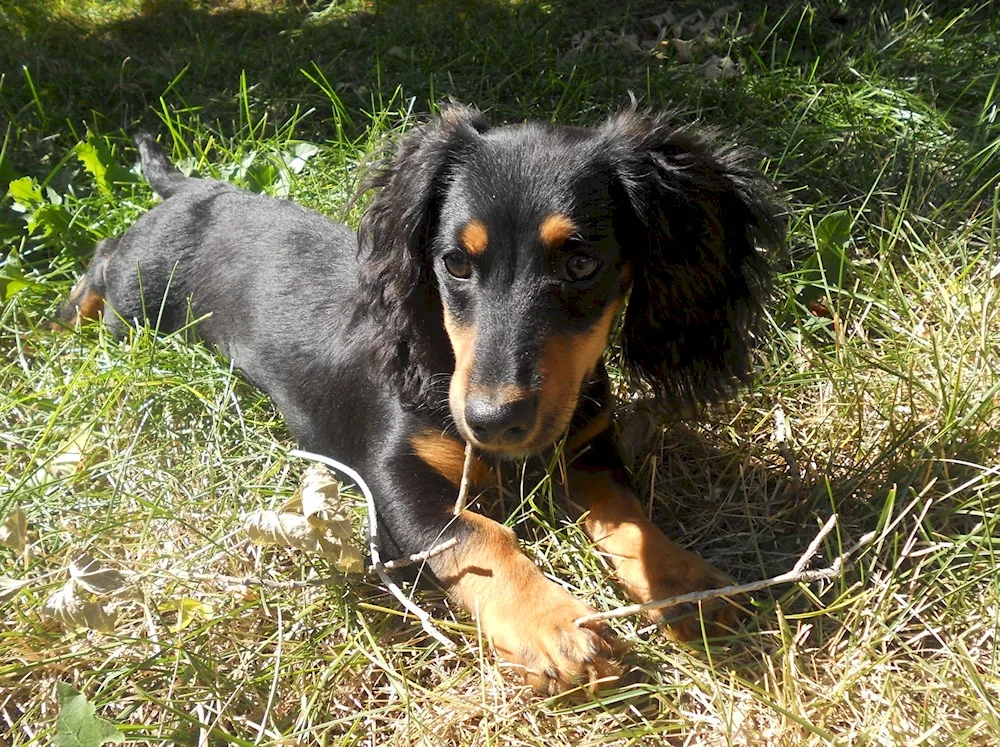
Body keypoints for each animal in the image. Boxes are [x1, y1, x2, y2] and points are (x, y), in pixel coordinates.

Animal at [52, 108, 788, 700]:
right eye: (455, 264)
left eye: (581, 264)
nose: (493, 421)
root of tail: (196, 188)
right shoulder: (391, 482)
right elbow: (482, 534)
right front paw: (554, 626)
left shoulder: (588, 445)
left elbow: (628, 514)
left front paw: (682, 579)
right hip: (138, 300)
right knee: (103, 257)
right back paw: (60, 322)